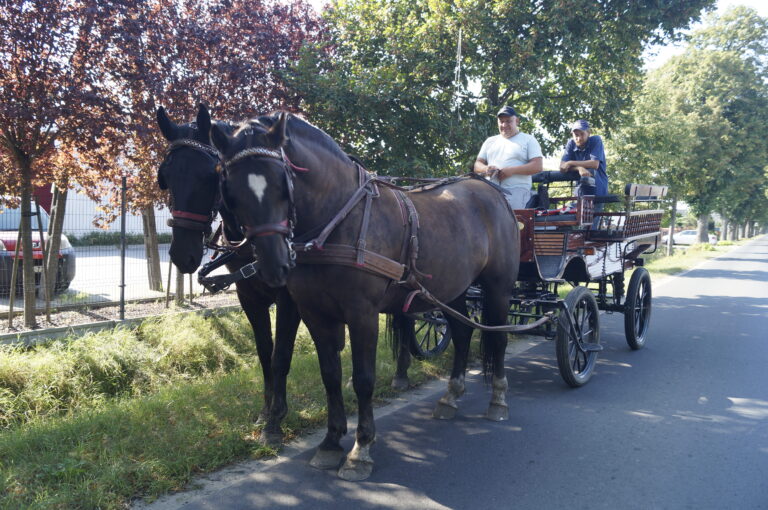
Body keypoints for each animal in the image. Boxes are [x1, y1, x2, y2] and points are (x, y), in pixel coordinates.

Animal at [156, 104, 416, 446]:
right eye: (166, 177)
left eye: (211, 175)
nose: (181, 254)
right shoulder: (249, 297)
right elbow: (265, 352)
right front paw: (266, 409)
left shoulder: (289, 300)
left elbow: (281, 354)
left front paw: (275, 420)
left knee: (406, 317)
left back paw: (401, 373)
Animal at [213, 112, 520, 482]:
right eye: (230, 191)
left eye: (281, 185)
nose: (274, 265)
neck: (338, 220)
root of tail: (491, 191)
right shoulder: (316, 314)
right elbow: (330, 374)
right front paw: (331, 442)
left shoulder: (362, 315)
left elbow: (363, 380)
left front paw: (361, 449)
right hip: (453, 290)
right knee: (461, 333)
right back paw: (451, 396)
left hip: (497, 289)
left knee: (499, 340)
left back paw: (498, 400)